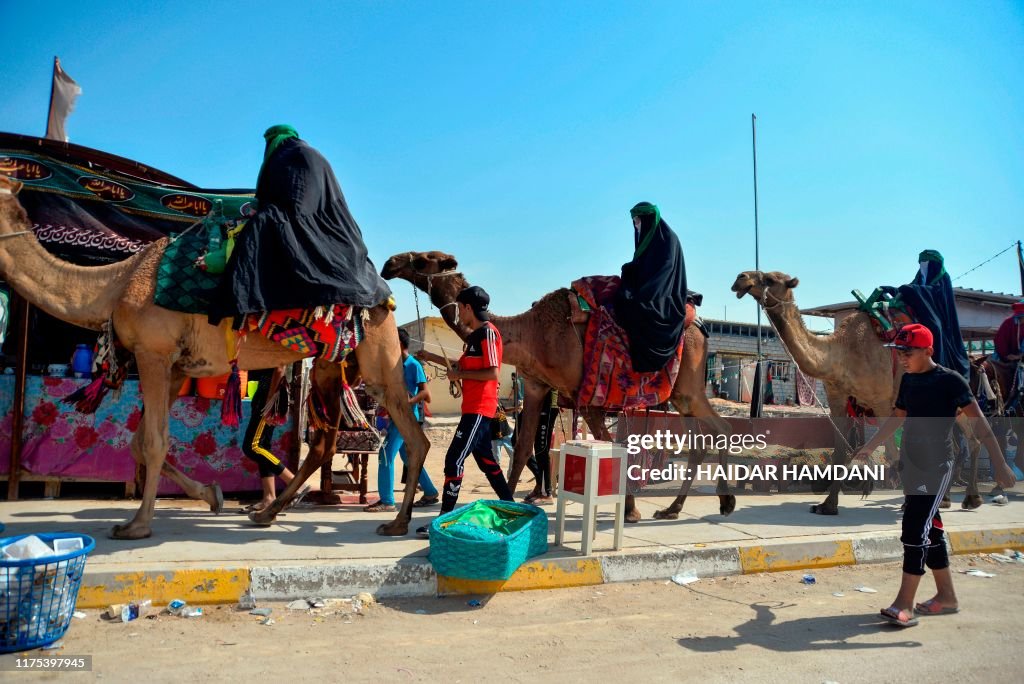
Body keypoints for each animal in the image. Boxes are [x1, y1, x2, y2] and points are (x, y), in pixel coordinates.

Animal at [0, 176, 425, 540]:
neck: (116, 284)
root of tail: (385, 294)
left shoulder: (153, 352)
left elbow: (153, 442)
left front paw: (137, 525)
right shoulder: (173, 365)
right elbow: (138, 442)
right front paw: (211, 494)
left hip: (378, 354)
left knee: (413, 437)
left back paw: (398, 523)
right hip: (329, 362)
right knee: (326, 443)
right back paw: (268, 513)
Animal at [380, 250, 733, 524]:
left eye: (424, 260)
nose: (390, 263)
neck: (531, 334)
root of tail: (700, 325)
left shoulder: (586, 395)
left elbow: (609, 446)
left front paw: (630, 510)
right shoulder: (537, 386)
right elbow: (523, 448)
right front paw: (507, 505)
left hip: (688, 385)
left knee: (720, 429)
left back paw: (725, 502)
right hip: (680, 395)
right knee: (701, 439)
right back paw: (675, 509)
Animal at [733, 270, 987, 509]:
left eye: (770, 279)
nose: (740, 278)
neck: (841, 353)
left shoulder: (883, 401)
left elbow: (893, 455)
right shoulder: (837, 398)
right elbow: (839, 454)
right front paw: (828, 505)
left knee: (973, 441)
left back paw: (971, 498)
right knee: (955, 445)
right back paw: (945, 499)